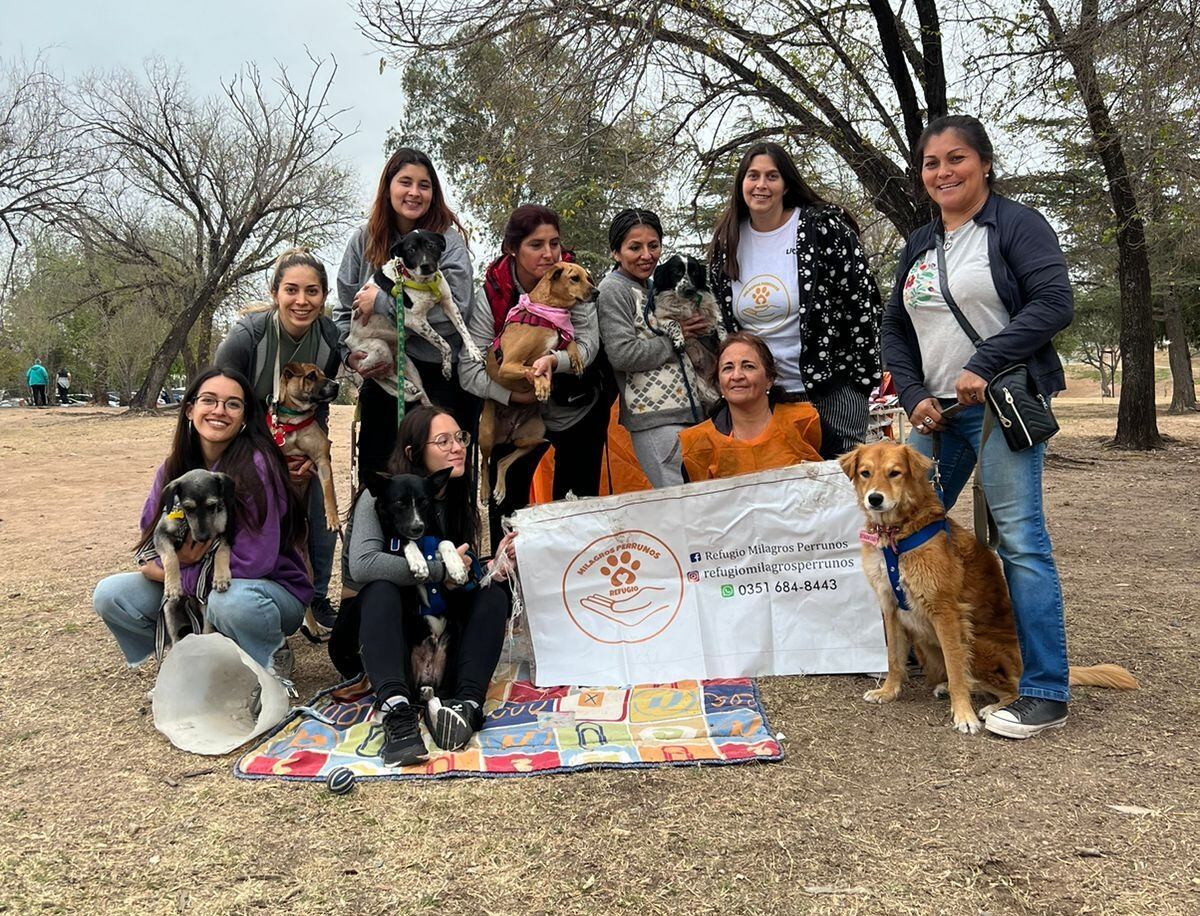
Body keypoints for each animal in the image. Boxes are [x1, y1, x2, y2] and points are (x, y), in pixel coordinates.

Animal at [153, 473, 237, 653]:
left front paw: (220, 578)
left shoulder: (227, 532)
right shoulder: (160, 535)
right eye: (188, 508)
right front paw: (173, 585)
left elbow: (221, 552)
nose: (203, 538)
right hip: (169, 610)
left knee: (206, 632)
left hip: (206, 609)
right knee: (175, 639)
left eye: (212, 506)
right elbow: (170, 557)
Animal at [367, 468, 470, 696]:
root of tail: (427, 679)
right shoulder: (390, 546)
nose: (417, 527)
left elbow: (445, 541)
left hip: (451, 655)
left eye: (424, 502)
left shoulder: (435, 535)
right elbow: (402, 540)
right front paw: (419, 563)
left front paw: (457, 567)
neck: (423, 541)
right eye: (399, 502)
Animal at [475, 261, 592, 504]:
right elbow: (533, 369)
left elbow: (569, 341)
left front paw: (576, 358)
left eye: (588, 278)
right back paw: (486, 491)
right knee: (485, 463)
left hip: (534, 434)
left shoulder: (559, 338)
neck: (547, 312)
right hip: (486, 434)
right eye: (574, 278)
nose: (596, 293)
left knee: (503, 461)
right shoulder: (509, 364)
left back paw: (500, 489)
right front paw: (542, 385)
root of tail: (508, 433)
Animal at [652, 250, 724, 408]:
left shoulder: (712, 311)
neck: (685, 302)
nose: (690, 289)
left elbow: (720, 324)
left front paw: (726, 340)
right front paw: (679, 341)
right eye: (676, 271)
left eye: (695, 272)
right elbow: (674, 323)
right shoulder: (661, 317)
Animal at [840, 441, 1137, 734]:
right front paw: (888, 691)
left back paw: (994, 709)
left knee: (1010, 687)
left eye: (895, 473)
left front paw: (964, 715)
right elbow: (893, 657)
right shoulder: (890, 606)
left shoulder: (945, 611)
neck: (897, 533)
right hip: (926, 648)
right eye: (866, 473)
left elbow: (956, 669)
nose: (874, 499)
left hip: (978, 644)